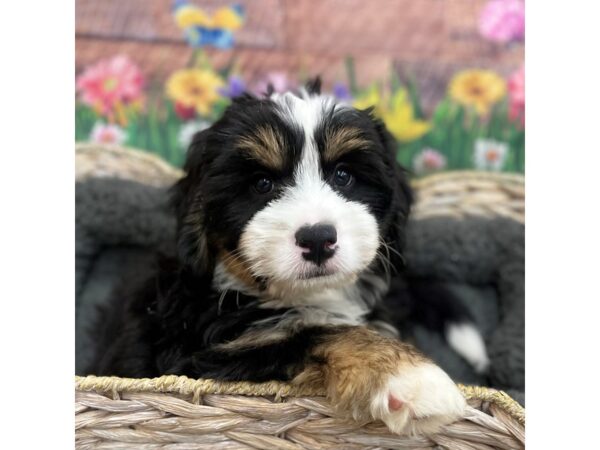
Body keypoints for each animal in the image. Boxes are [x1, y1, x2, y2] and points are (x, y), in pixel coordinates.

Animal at [91, 79, 472, 434]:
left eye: (343, 175)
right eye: (262, 183)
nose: (317, 239)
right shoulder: (205, 357)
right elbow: (318, 332)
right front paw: (412, 379)